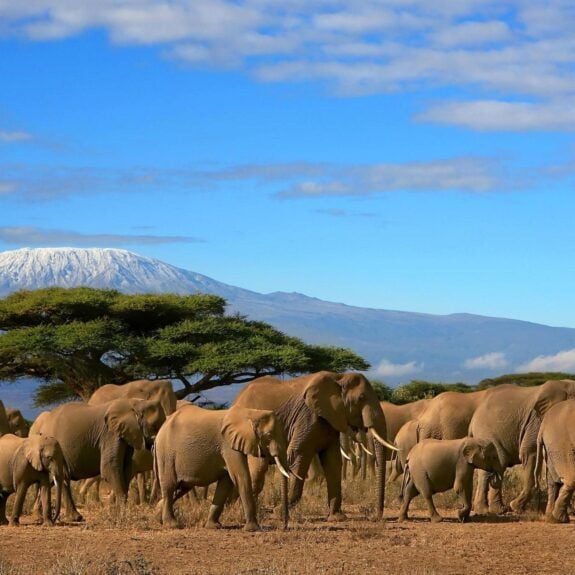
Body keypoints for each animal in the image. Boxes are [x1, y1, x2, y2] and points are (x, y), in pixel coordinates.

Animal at [32, 398, 164, 520]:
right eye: (155, 426)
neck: (136, 402)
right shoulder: (110, 434)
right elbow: (109, 467)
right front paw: (123, 516)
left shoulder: (126, 435)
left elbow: (126, 469)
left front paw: (117, 513)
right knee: (62, 478)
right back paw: (71, 517)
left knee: (55, 480)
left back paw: (41, 516)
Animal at [153, 402, 290, 532]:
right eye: (268, 436)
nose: (284, 526)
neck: (250, 413)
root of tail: (160, 429)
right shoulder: (228, 445)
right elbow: (241, 477)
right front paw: (254, 529)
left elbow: (225, 483)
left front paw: (213, 526)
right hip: (166, 454)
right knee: (170, 486)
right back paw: (172, 525)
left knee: (181, 487)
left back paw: (158, 517)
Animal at [231, 372, 396, 520]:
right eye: (361, 398)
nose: (376, 517)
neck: (339, 377)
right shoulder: (308, 417)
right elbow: (298, 455)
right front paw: (278, 513)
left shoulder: (330, 420)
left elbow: (333, 461)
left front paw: (337, 517)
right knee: (258, 469)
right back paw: (243, 513)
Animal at [470, 380, 575, 516]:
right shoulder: (537, 421)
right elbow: (530, 453)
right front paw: (515, 507)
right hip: (485, 433)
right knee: (490, 467)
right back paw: (485, 511)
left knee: (499, 466)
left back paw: (498, 510)